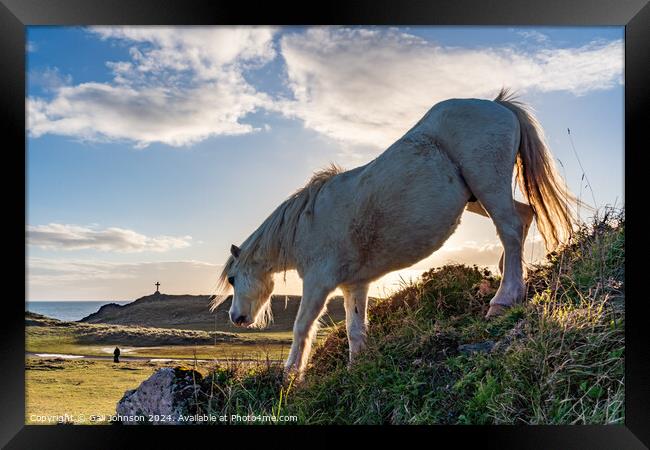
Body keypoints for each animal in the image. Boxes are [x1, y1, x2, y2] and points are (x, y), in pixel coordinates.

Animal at [214, 89, 576, 378]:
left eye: (232, 279)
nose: (236, 318)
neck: (307, 223)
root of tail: (497, 104)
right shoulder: (355, 285)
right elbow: (355, 330)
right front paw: (355, 371)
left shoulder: (318, 282)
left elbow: (302, 326)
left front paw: (290, 376)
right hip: (477, 197)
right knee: (524, 215)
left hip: (487, 183)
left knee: (510, 228)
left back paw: (504, 299)